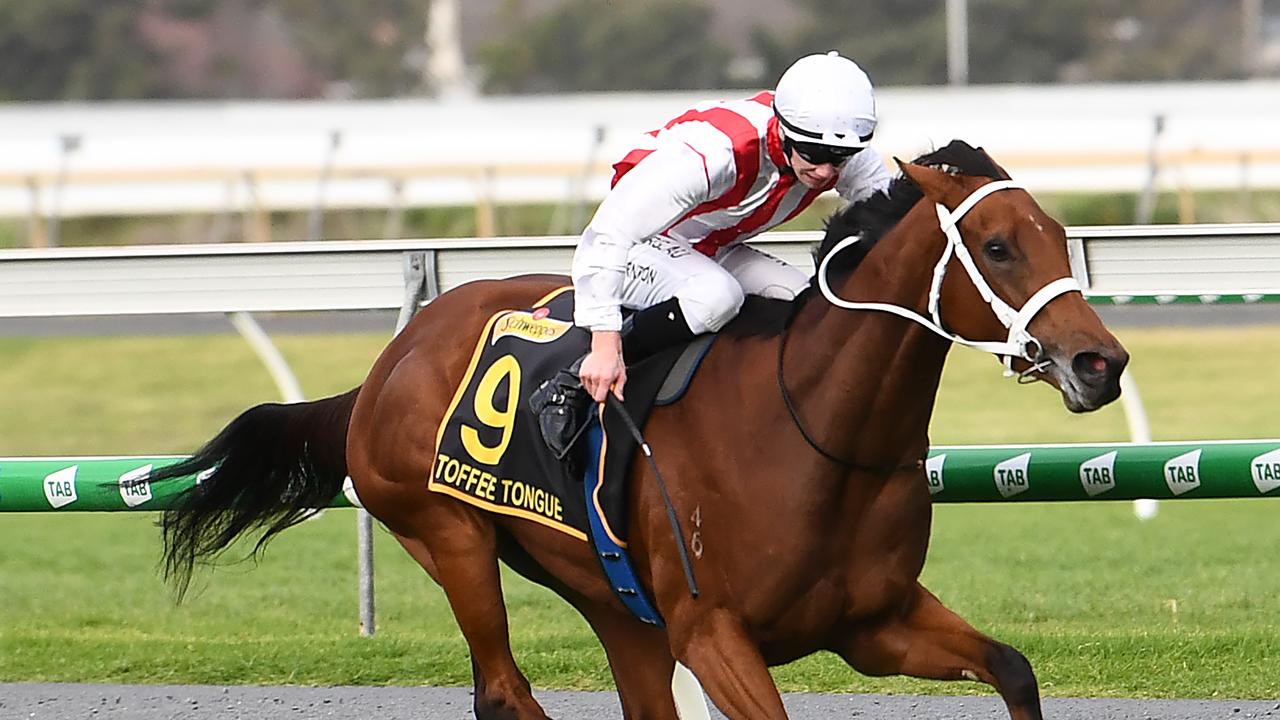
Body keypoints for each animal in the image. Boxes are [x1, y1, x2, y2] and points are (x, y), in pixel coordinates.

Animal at [152, 141, 1131, 717]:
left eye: (1058, 235)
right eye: (998, 247)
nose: (1100, 363)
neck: (811, 434)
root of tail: (392, 358)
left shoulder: (875, 623)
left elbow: (1013, 668)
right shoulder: (714, 633)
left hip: (611, 597)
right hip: (448, 538)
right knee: (503, 690)